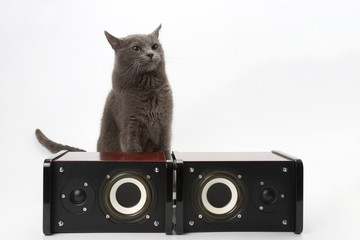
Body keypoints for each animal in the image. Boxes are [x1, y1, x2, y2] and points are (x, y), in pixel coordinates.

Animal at [35, 25, 174, 154]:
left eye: (155, 46)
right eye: (136, 48)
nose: (150, 54)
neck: (149, 87)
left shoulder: (165, 125)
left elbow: (165, 150)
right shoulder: (129, 127)